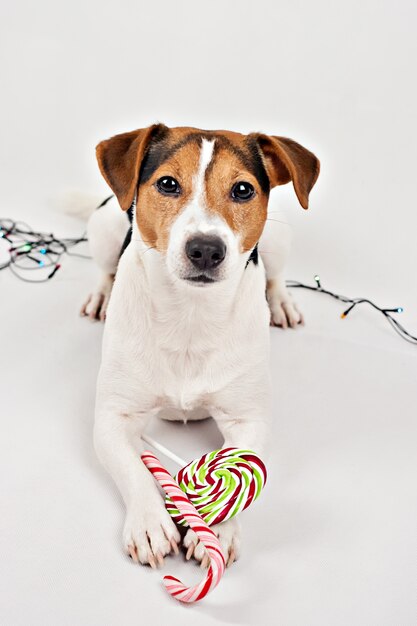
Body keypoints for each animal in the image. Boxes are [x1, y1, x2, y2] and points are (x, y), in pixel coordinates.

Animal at [83, 124, 318, 568]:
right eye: (167, 184)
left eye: (242, 190)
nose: (206, 249)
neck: (189, 314)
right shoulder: (113, 418)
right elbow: (134, 470)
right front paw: (150, 522)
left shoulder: (249, 420)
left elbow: (240, 470)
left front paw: (218, 530)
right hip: (102, 228)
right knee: (104, 268)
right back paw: (100, 296)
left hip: (278, 238)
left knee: (276, 275)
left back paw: (281, 303)